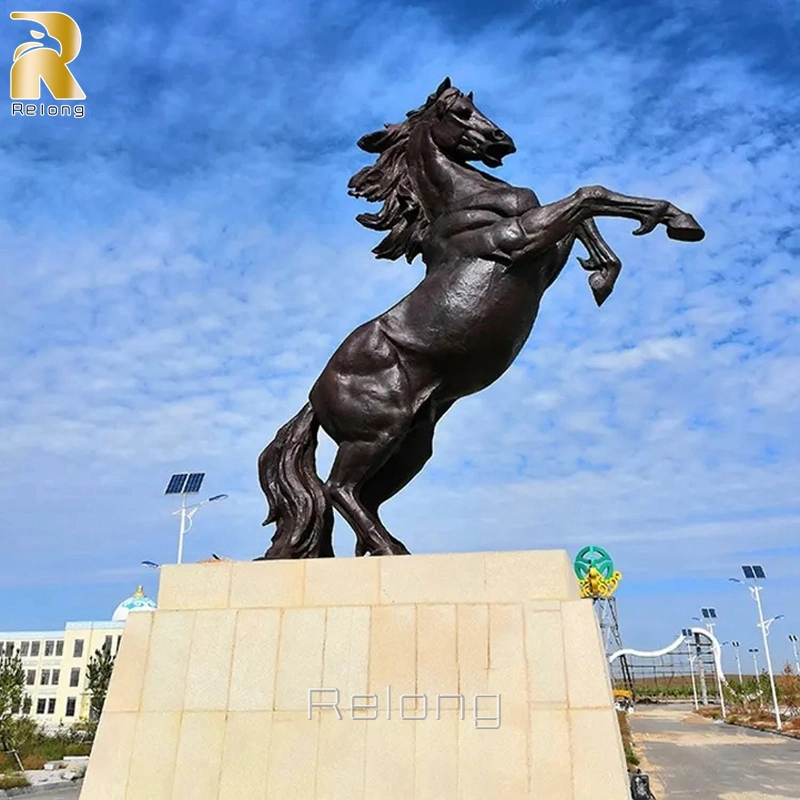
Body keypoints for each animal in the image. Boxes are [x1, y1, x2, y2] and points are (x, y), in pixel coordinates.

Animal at [255, 78, 700, 560]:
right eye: (460, 112)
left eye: (476, 107)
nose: (502, 141)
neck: (467, 202)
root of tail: (314, 397)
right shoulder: (521, 238)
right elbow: (588, 196)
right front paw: (678, 222)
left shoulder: (547, 251)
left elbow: (585, 216)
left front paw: (607, 271)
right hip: (375, 436)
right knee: (339, 488)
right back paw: (390, 552)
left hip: (412, 444)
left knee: (364, 498)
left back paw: (390, 549)